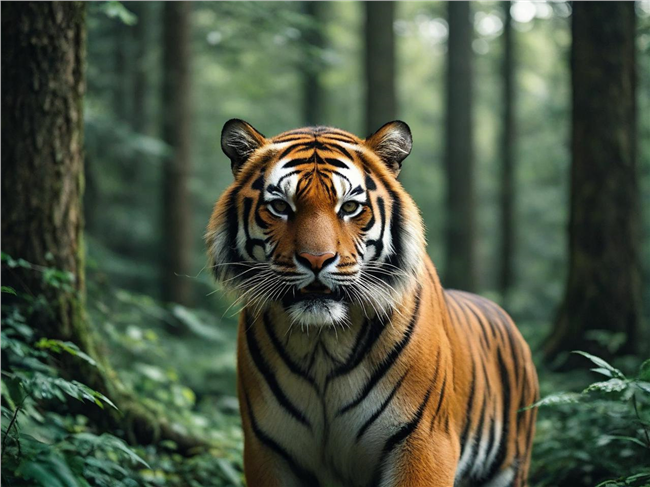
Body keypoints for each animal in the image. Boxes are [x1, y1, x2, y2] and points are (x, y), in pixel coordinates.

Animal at [206, 119, 539, 487]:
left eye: (350, 207)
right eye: (280, 207)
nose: (316, 259)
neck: (321, 344)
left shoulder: (423, 441)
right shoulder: (266, 449)